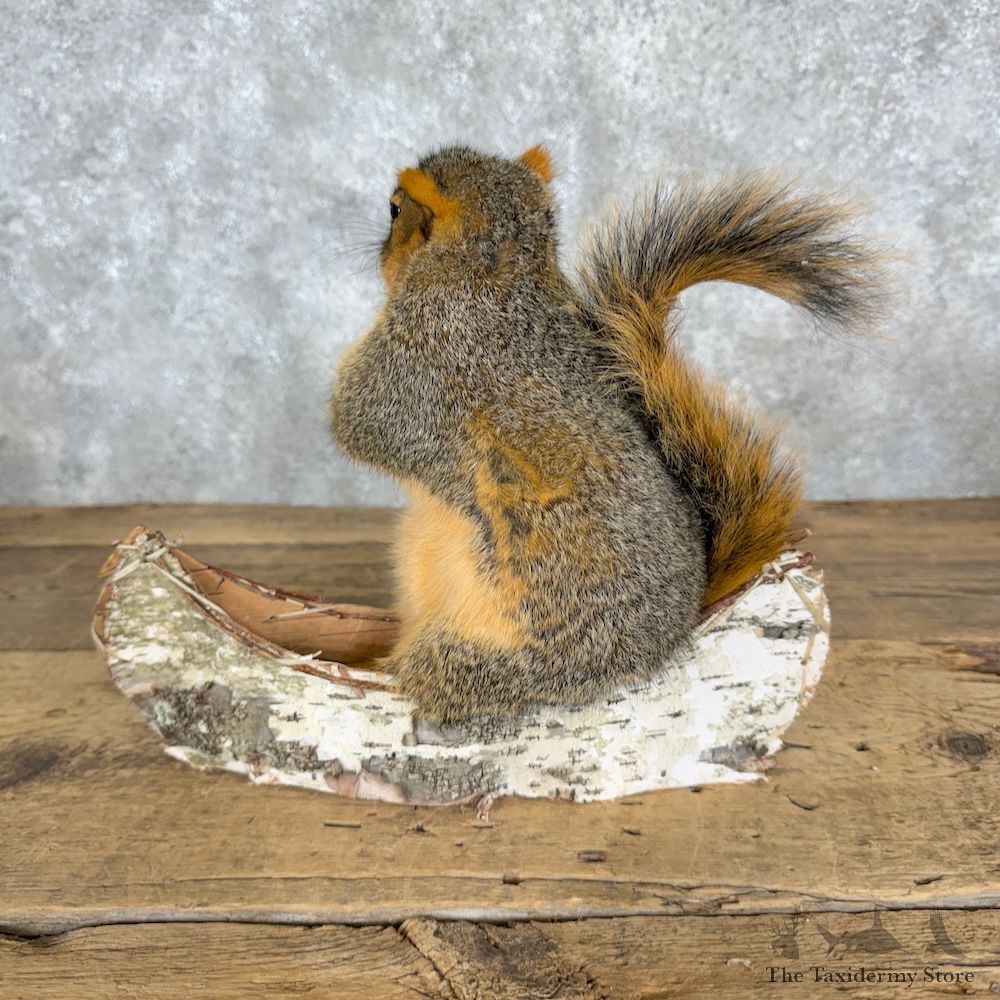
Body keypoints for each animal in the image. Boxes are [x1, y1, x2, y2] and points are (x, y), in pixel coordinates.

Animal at [330, 144, 877, 722]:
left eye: (394, 210)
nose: (378, 250)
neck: (503, 276)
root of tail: (681, 627)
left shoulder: (415, 361)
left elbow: (358, 421)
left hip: (504, 661)